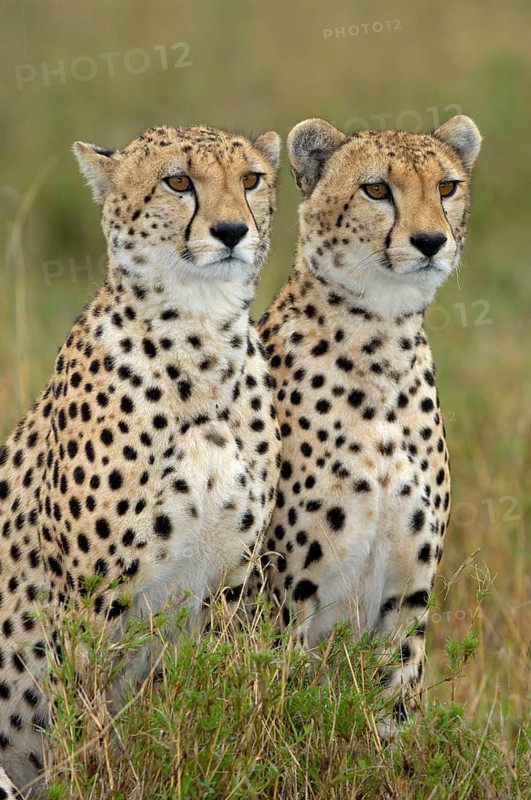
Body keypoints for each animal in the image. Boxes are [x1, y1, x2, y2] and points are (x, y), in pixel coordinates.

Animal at [0, 123, 282, 795]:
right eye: (178, 181)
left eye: (251, 179)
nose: (232, 231)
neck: (201, 346)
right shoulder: (89, 601)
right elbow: (83, 717)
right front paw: (92, 779)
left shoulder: (227, 588)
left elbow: (213, 702)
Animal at [256, 114, 481, 724]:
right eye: (377, 189)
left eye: (446, 187)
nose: (430, 242)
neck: (381, 341)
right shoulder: (287, 596)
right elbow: (283, 710)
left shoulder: (408, 596)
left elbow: (395, 704)